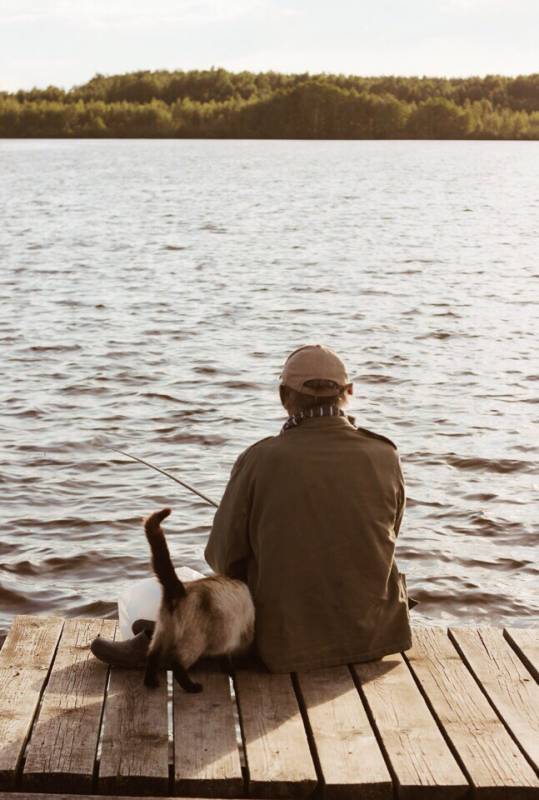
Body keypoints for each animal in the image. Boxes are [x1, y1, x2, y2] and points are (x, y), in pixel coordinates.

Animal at [142, 510, 254, 692]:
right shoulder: (236, 637)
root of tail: (179, 589)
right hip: (195, 642)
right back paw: (192, 687)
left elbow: (224, 658)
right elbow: (227, 660)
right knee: (176, 663)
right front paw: (231, 670)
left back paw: (151, 682)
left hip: (162, 632)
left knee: (152, 656)